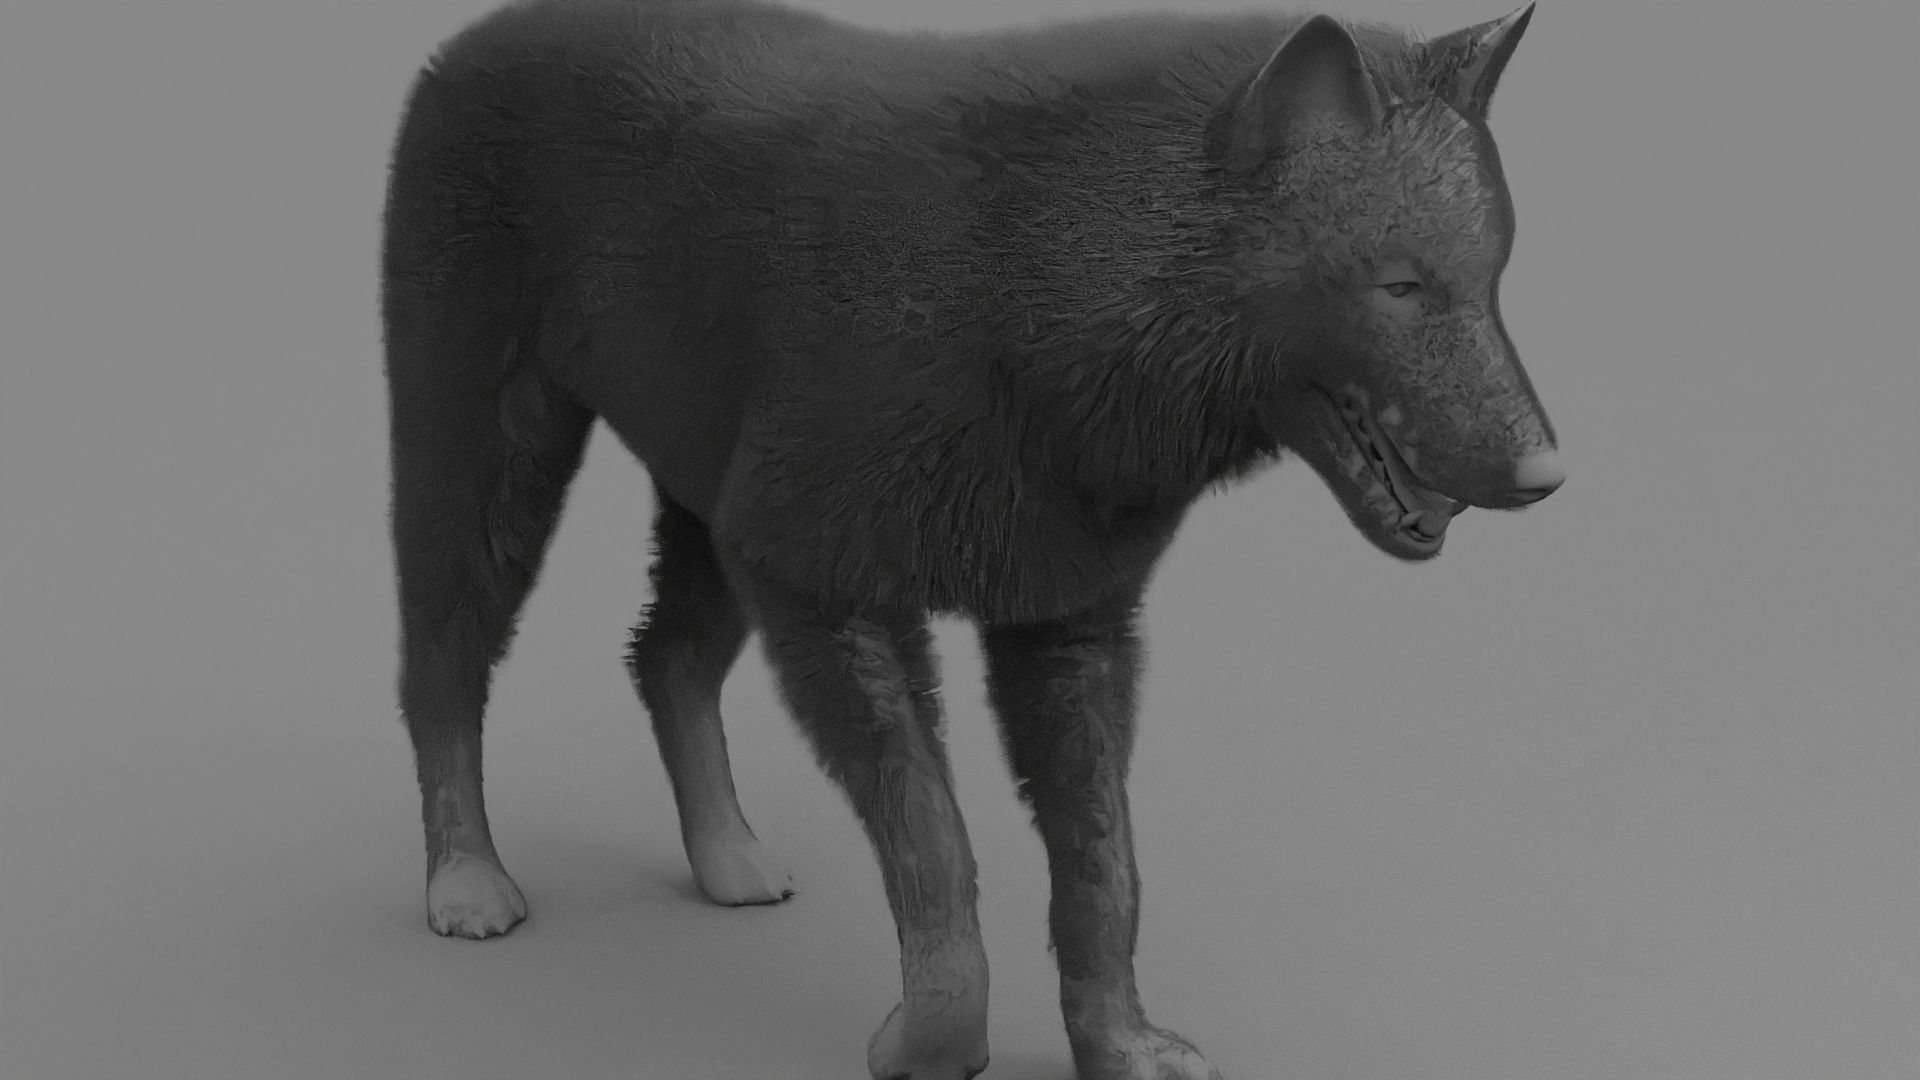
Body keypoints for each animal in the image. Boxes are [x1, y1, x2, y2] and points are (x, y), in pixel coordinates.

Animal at [381, 0, 1559, 1076]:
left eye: (1493, 281)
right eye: (1401, 285)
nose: (1547, 476)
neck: (1047, 288)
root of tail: (473, 40)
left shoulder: (1064, 622)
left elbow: (1104, 873)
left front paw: (1119, 1045)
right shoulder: (826, 587)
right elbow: (934, 843)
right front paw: (931, 1047)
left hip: (710, 510)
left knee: (662, 656)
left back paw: (727, 858)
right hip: (490, 464)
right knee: (441, 663)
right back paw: (467, 881)